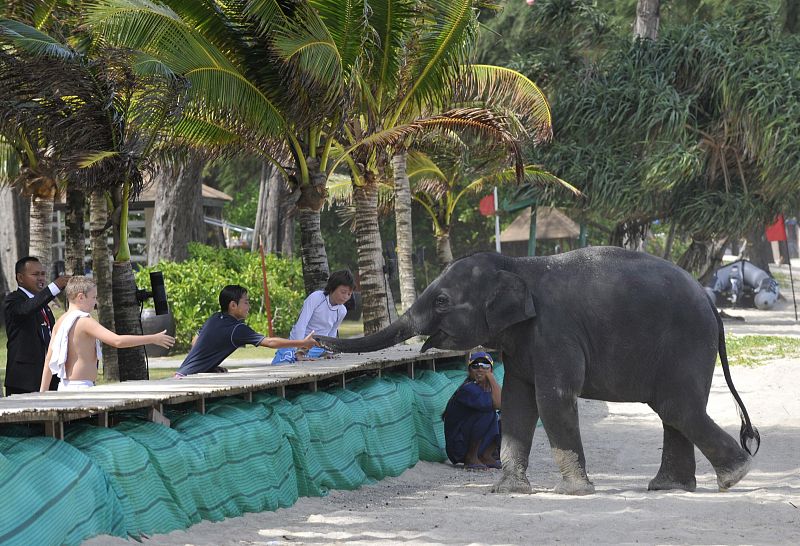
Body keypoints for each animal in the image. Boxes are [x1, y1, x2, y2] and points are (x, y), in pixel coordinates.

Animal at [316, 246, 760, 492]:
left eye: (442, 301)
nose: (317, 341)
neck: (517, 264)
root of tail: (711, 304)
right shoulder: (523, 340)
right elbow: (516, 404)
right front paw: (508, 491)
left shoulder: (553, 329)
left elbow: (553, 399)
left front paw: (575, 492)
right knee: (673, 410)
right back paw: (671, 487)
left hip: (688, 343)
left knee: (677, 408)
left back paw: (734, 477)